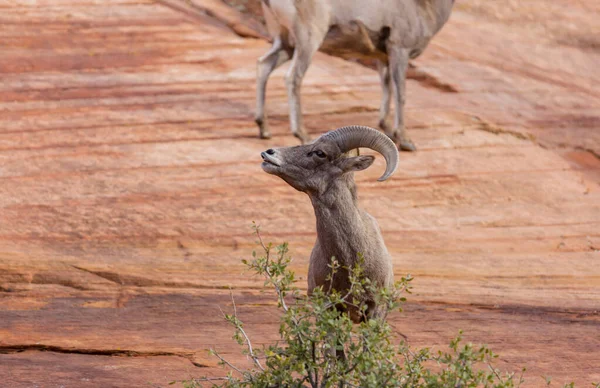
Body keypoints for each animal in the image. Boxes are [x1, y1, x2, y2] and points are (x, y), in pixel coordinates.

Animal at [253, 0, 454, 151]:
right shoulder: (399, 51)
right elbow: (400, 95)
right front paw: (405, 141)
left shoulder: (383, 59)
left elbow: (386, 88)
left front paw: (388, 130)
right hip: (308, 41)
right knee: (293, 78)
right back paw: (303, 135)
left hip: (286, 44)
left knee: (264, 66)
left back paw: (264, 129)